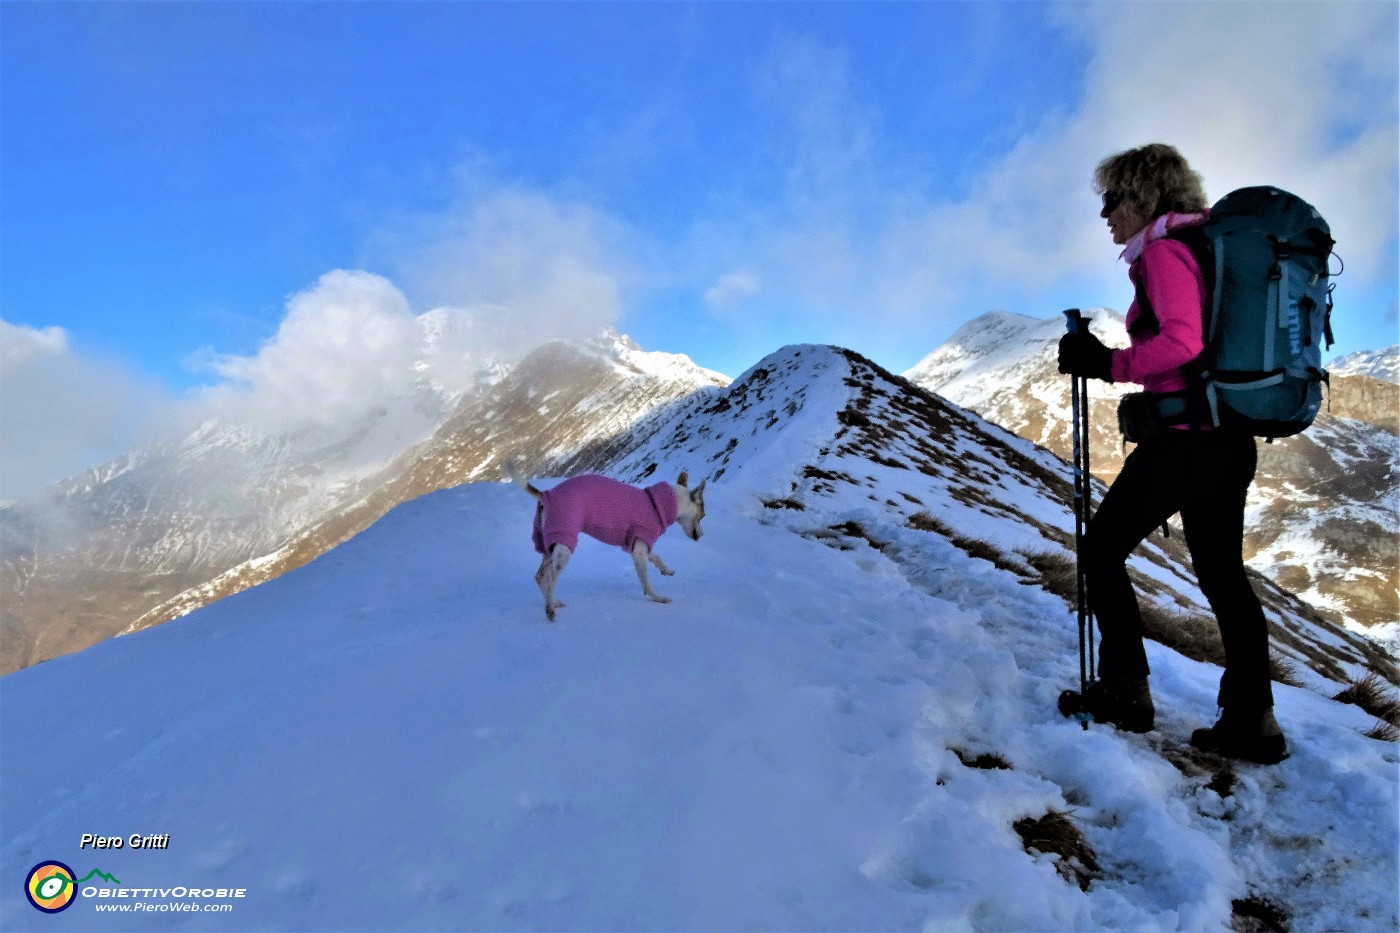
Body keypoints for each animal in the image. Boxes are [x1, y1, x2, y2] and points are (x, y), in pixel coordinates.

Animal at [509, 465, 705, 616]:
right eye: (703, 515)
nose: (701, 535)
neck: (658, 505)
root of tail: (545, 495)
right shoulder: (638, 550)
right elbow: (646, 582)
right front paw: (658, 598)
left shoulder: (636, 546)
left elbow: (656, 557)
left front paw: (666, 570)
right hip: (564, 545)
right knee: (551, 578)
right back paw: (550, 609)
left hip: (550, 546)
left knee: (540, 577)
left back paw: (553, 602)